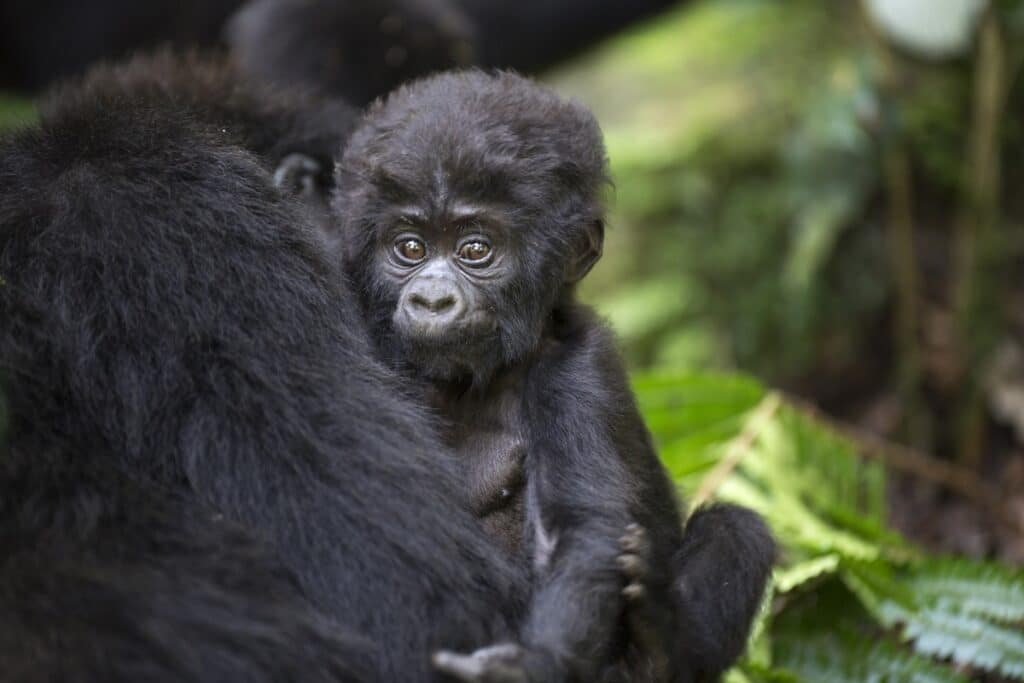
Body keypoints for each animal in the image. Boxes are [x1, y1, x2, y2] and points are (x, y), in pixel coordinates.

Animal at [335, 72, 774, 679]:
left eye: (476, 249)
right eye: (410, 247)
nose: (432, 300)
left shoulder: (577, 372)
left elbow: (579, 531)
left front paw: (530, 664)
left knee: (738, 530)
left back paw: (663, 643)